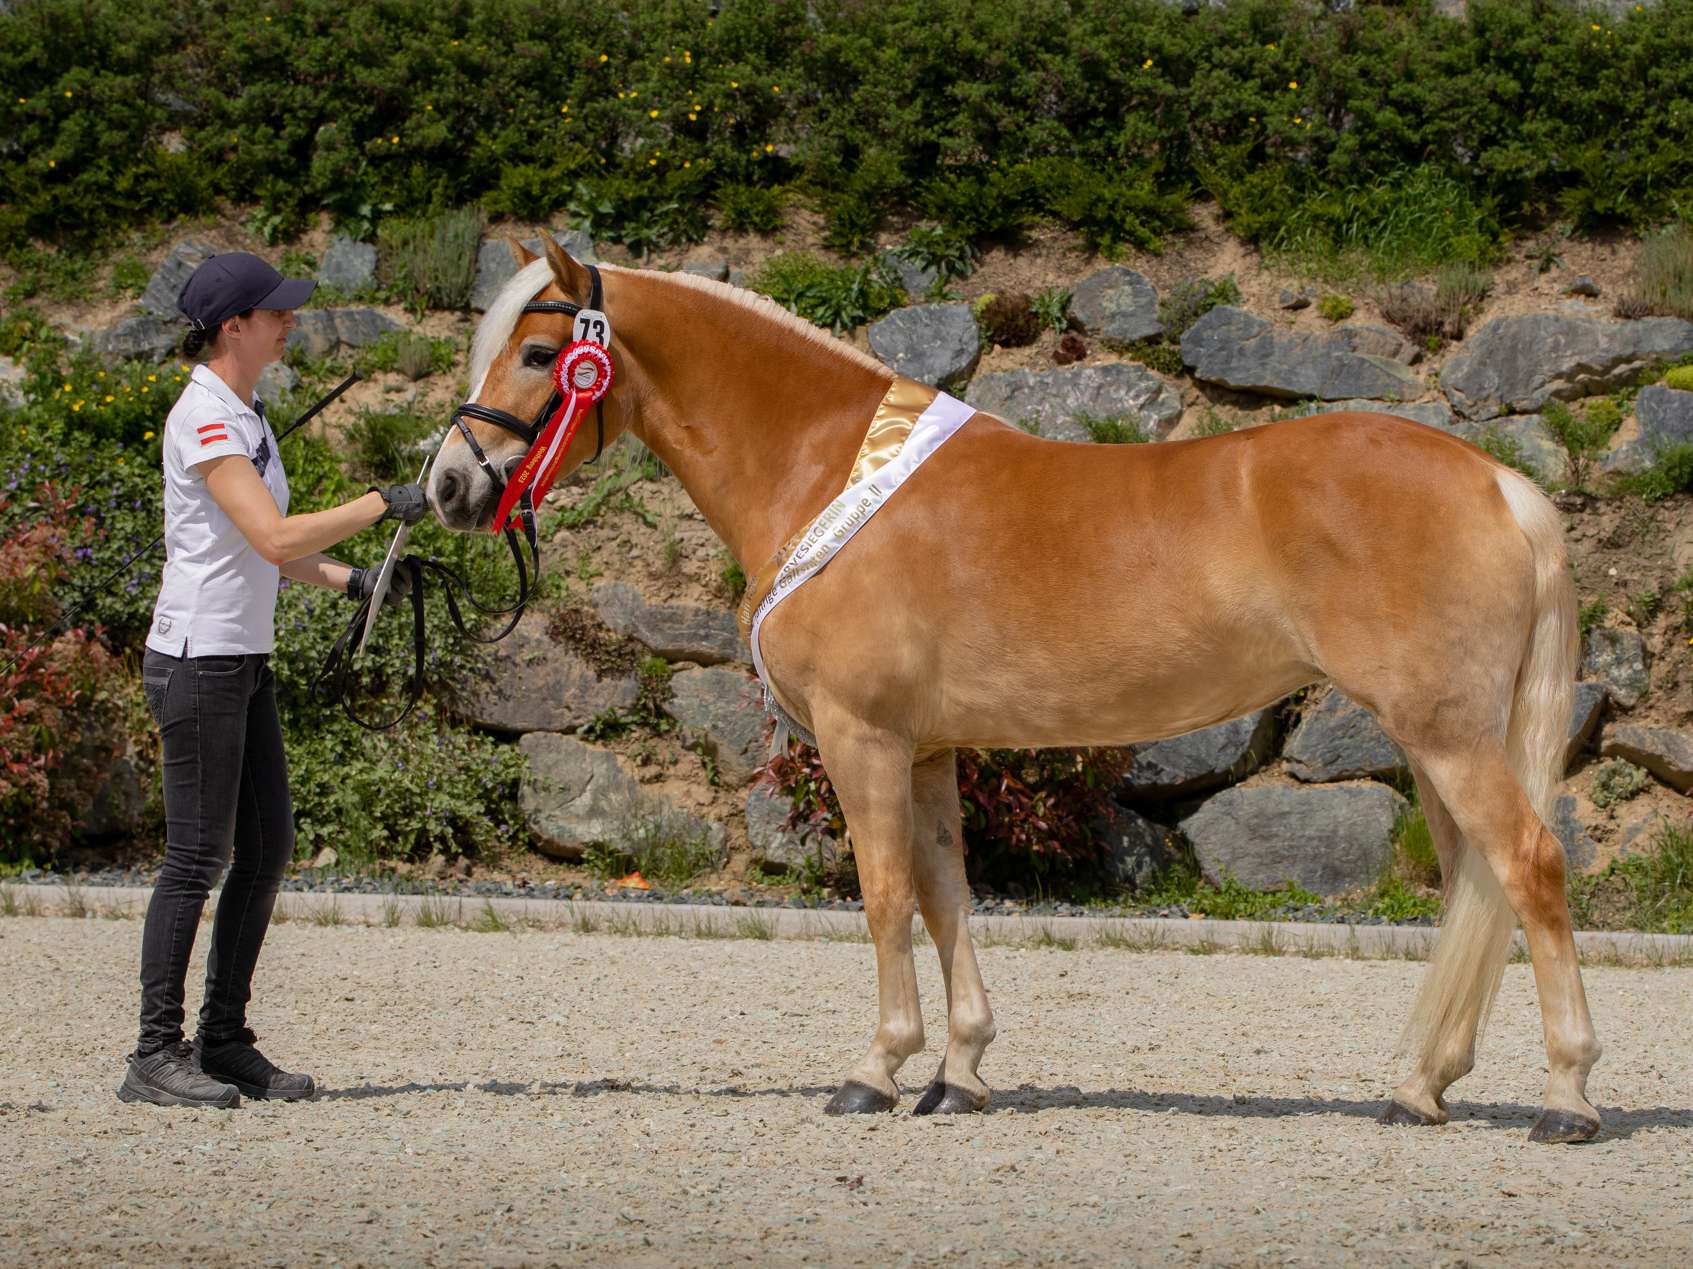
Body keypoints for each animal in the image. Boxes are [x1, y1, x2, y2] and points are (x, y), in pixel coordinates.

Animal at [430, 236, 1604, 1143]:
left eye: (541, 351)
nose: (446, 485)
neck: (828, 468)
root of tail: (1498, 482)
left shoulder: (861, 738)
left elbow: (884, 896)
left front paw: (875, 1070)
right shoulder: (928, 748)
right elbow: (947, 893)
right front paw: (959, 1075)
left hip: (1444, 732)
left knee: (1529, 866)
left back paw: (1565, 1097)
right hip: (1437, 739)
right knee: (1471, 885)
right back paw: (1419, 1089)